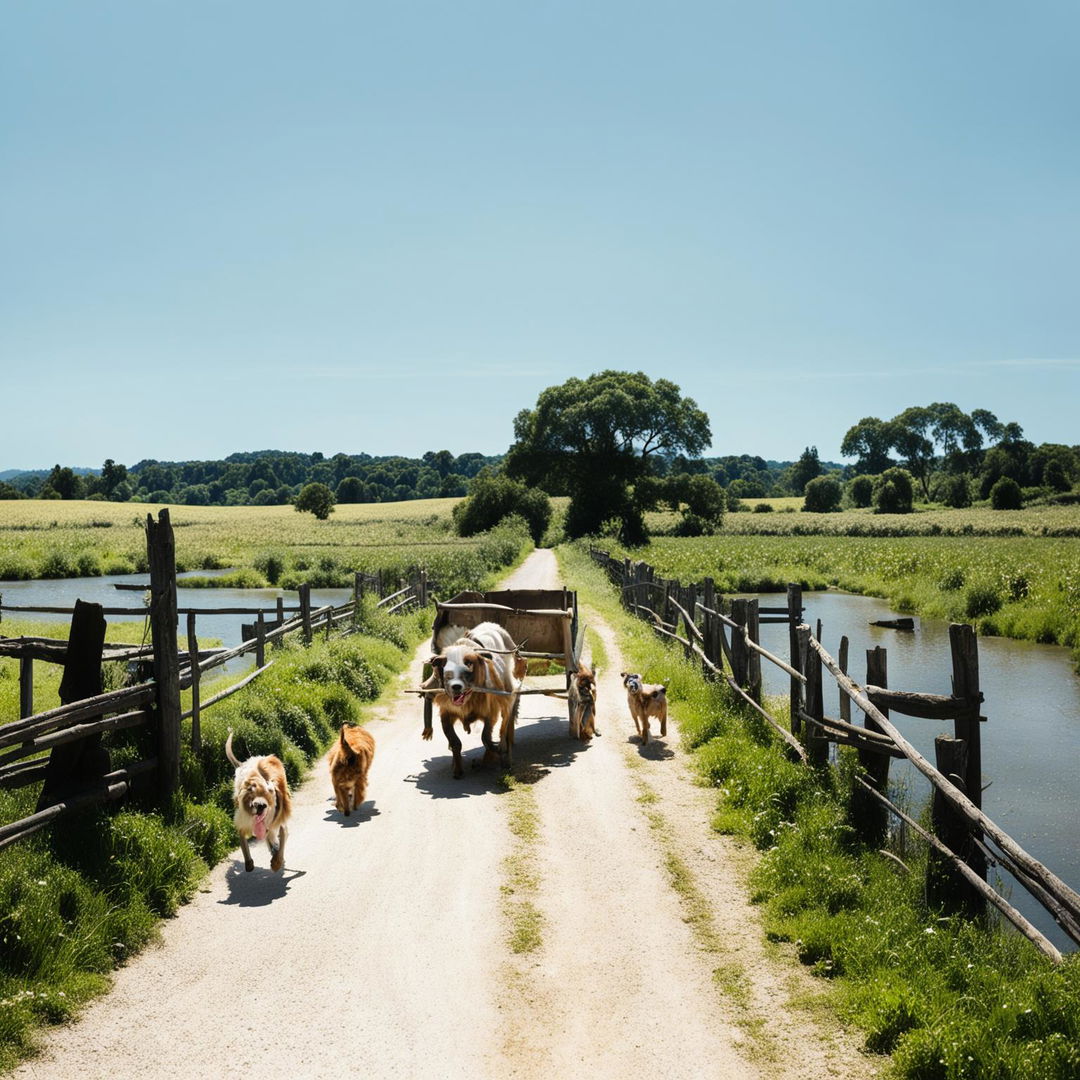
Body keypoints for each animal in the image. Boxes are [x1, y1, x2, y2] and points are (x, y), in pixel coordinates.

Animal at [225, 730, 291, 872]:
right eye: (251, 791)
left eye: (269, 792)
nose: (260, 805)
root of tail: (245, 763)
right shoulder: (244, 820)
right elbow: (242, 837)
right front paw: (249, 862)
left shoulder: (280, 823)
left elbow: (281, 842)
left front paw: (276, 862)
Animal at [419, 622, 524, 781]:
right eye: (445, 669)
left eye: (468, 665)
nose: (456, 687)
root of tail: (492, 625)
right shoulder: (446, 714)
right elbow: (455, 742)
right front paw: (457, 770)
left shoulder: (490, 713)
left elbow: (486, 737)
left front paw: (497, 754)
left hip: (509, 687)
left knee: (509, 714)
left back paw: (505, 744)